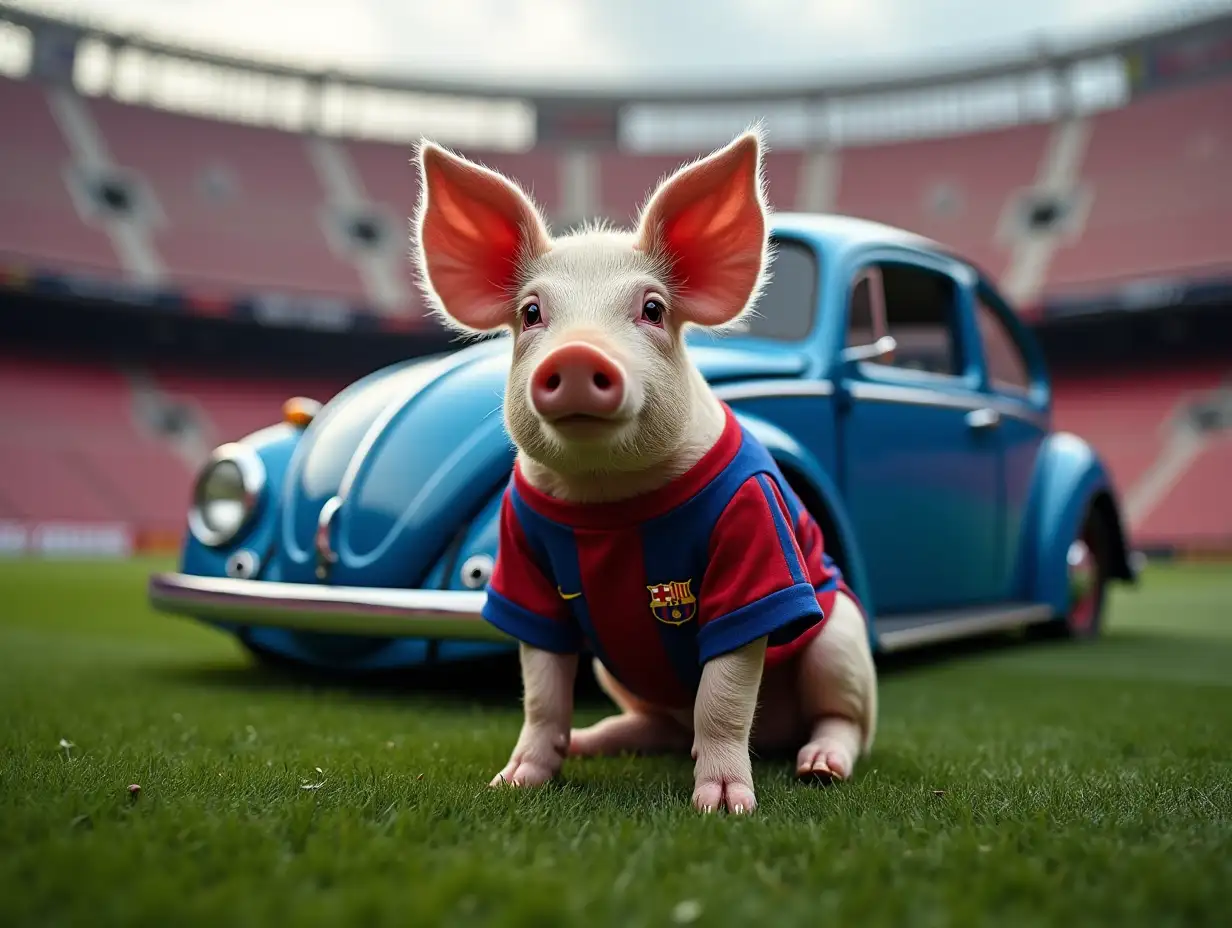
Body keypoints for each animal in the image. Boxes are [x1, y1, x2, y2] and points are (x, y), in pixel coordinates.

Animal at [411, 125, 877, 808]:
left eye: (653, 309)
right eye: (530, 313)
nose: (578, 354)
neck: (608, 498)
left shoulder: (755, 538)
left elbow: (723, 694)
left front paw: (723, 806)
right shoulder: (520, 553)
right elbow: (541, 692)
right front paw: (512, 783)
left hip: (842, 640)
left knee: (842, 721)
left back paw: (819, 767)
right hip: (618, 672)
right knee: (654, 727)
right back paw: (591, 742)